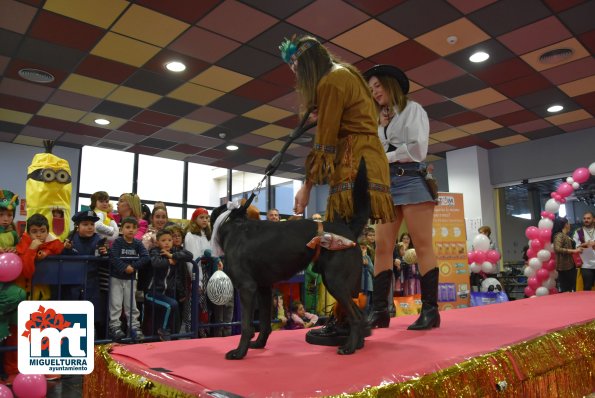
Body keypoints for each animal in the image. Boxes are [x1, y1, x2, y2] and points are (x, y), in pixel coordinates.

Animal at [212, 159, 370, 360]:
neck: (234, 226)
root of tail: (349, 231)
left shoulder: (247, 288)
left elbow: (247, 325)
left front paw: (239, 352)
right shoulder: (264, 288)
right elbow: (264, 322)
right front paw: (259, 344)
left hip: (336, 281)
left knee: (356, 316)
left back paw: (349, 348)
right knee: (360, 315)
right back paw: (358, 345)